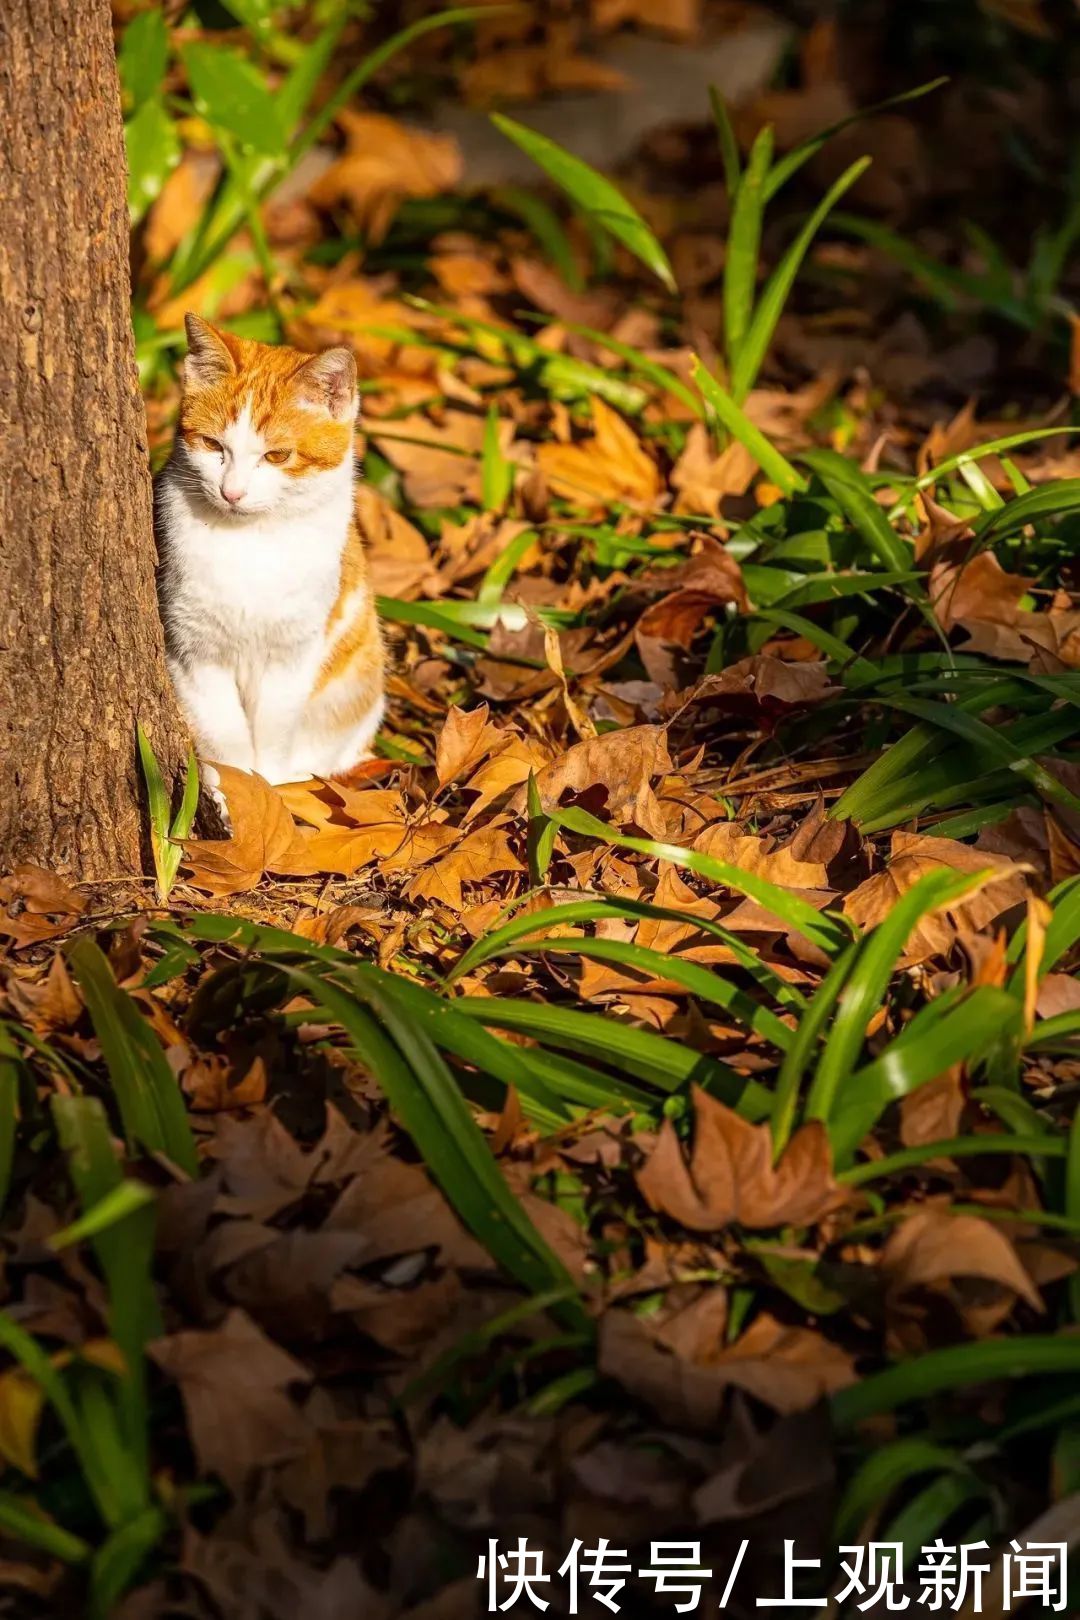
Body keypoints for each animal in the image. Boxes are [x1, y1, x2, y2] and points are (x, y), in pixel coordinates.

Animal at [156, 314, 383, 784]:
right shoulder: (192, 654)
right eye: (213, 445)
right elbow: (225, 739)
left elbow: (273, 736)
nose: (232, 492)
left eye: (277, 456)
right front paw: (235, 789)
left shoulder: (291, 659)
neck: (252, 543)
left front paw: (271, 787)